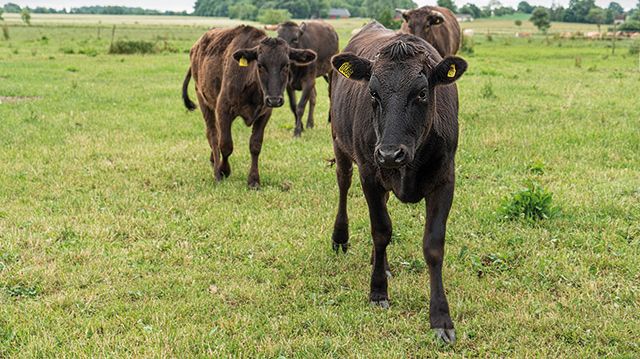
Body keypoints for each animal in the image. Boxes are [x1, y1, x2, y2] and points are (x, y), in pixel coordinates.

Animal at [182, 25, 318, 188]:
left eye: (286, 65)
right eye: (260, 65)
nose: (274, 100)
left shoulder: (264, 114)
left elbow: (255, 145)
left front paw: (253, 180)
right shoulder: (223, 109)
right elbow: (226, 144)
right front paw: (223, 170)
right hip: (204, 101)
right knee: (213, 136)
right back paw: (216, 169)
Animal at [328, 21, 468, 344]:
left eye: (422, 93)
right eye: (372, 93)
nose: (390, 153)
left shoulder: (445, 179)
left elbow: (433, 245)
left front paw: (440, 317)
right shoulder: (369, 173)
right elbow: (381, 231)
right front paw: (378, 291)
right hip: (340, 145)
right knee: (343, 184)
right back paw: (340, 238)